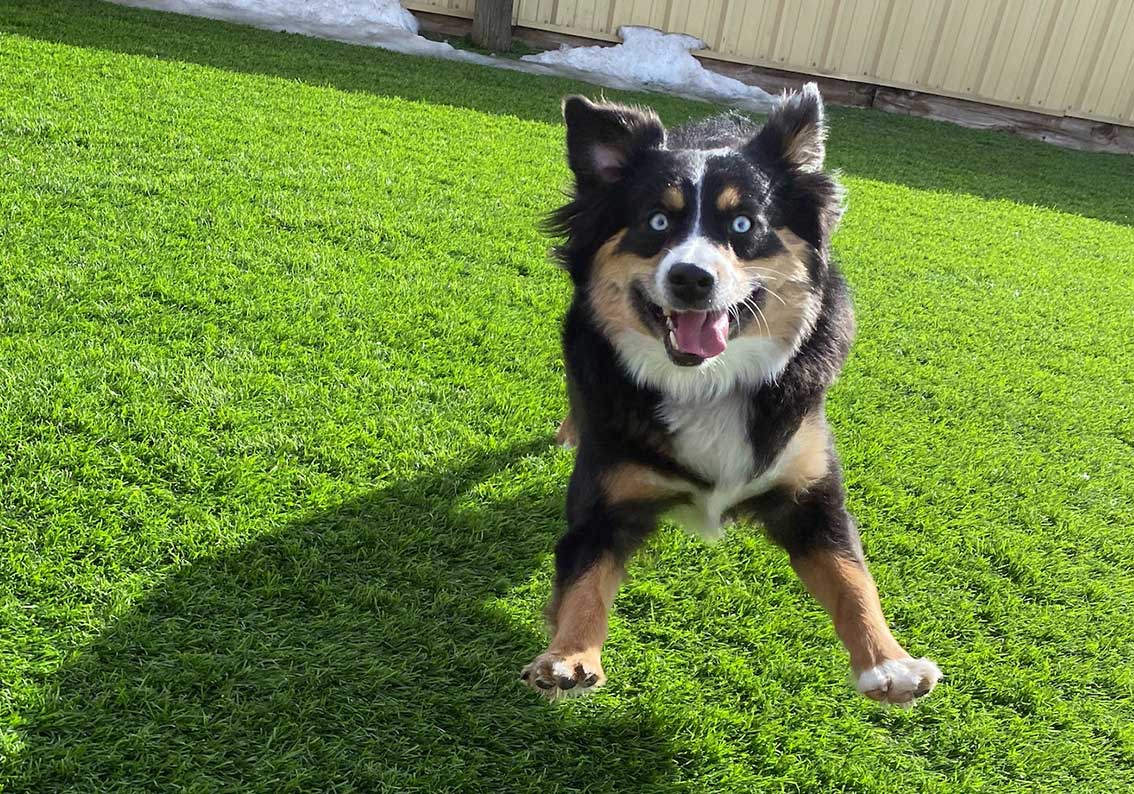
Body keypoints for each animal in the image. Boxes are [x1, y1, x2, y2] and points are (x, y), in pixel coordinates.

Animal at [519, 85, 938, 707]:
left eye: (744, 224)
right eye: (656, 221)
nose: (692, 278)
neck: (706, 380)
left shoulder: (811, 493)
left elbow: (853, 577)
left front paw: (890, 665)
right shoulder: (605, 501)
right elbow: (585, 577)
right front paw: (569, 658)